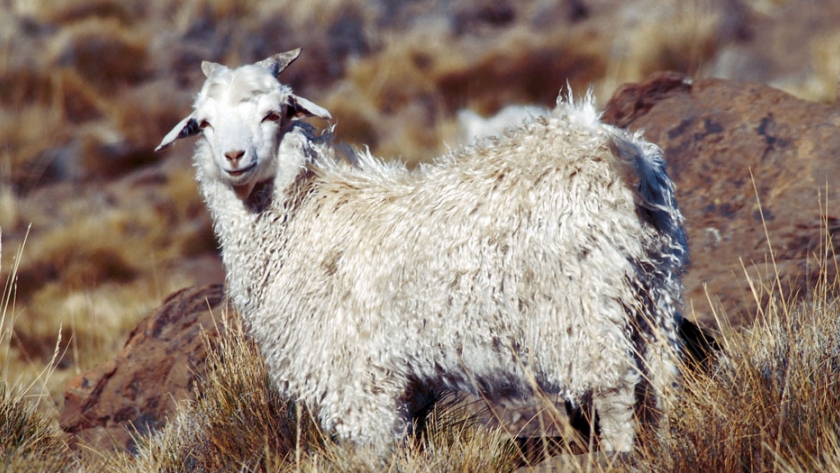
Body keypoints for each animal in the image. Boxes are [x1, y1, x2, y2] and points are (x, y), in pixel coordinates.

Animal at [158, 48, 688, 454]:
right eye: (203, 123)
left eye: (273, 113)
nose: (234, 158)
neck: (305, 218)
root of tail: (625, 159)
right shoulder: (399, 387)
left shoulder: (358, 379)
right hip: (650, 291)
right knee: (662, 379)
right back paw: (667, 444)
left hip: (580, 303)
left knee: (615, 387)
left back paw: (619, 454)